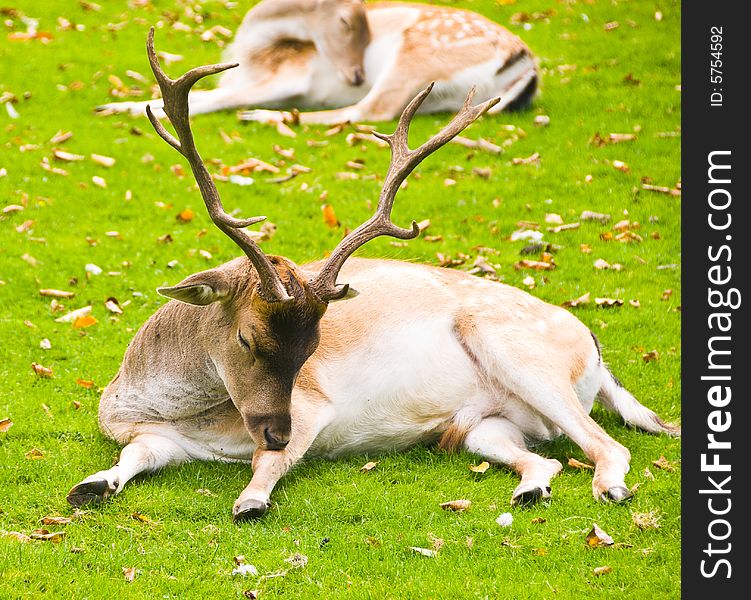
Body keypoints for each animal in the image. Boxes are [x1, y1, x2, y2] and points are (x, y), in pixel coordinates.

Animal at [69, 30, 680, 524]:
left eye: (312, 348)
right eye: (247, 338)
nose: (276, 429)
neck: (165, 408)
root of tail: (595, 351)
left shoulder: (312, 408)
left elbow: (271, 463)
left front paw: (251, 500)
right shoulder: (153, 437)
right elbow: (135, 455)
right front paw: (92, 486)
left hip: (520, 353)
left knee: (608, 446)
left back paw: (612, 489)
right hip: (484, 426)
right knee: (544, 458)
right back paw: (530, 491)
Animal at [98, 0, 540, 123]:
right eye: (347, 23)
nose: (356, 74)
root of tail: (528, 67)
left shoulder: (290, 75)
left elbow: (215, 100)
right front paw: (113, 105)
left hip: (417, 57)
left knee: (371, 111)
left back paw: (264, 117)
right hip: (444, 97)